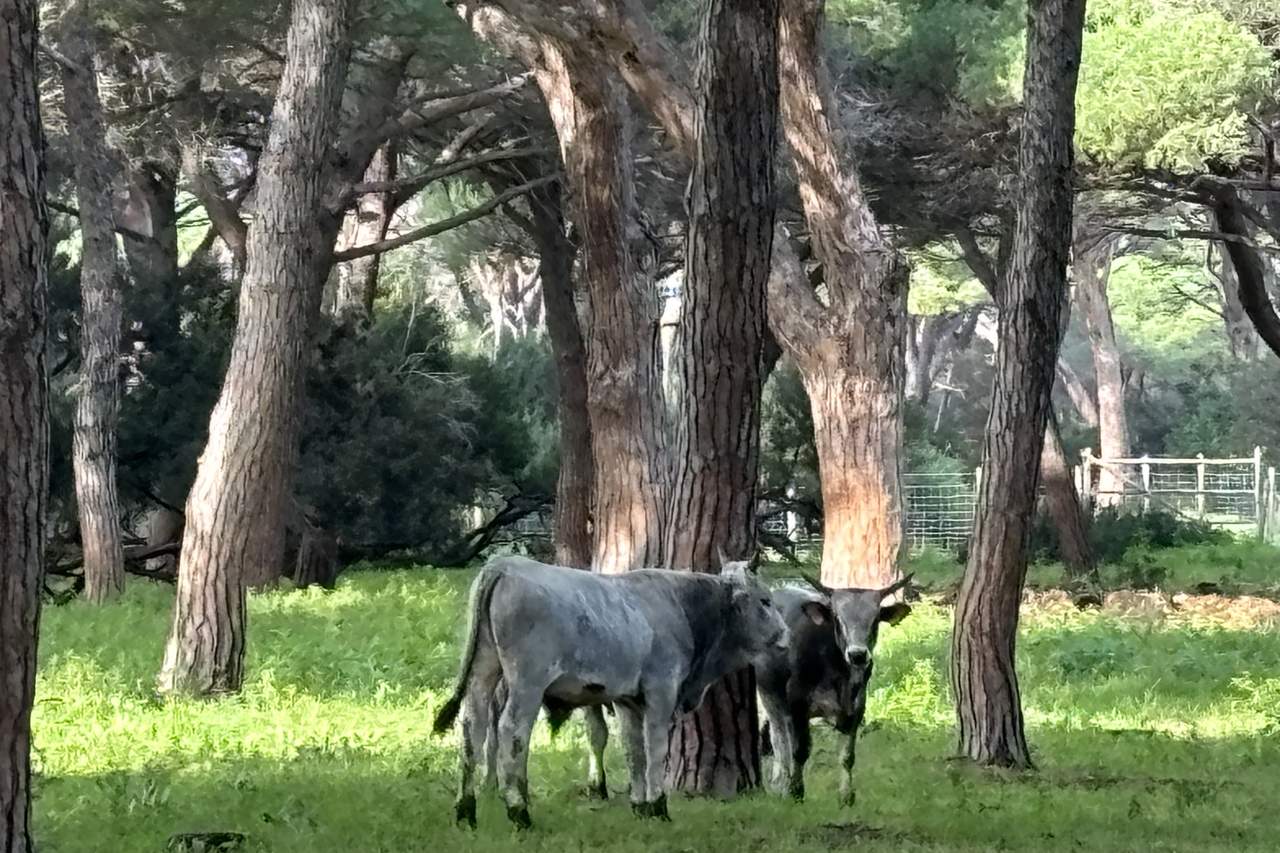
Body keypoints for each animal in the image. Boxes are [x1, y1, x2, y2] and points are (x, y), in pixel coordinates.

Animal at [432, 550, 788, 824]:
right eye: (766, 601)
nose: (785, 635)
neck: (685, 607)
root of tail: (504, 565)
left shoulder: (628, 700)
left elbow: (634, 750)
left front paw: (640, 806)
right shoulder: (661, 692)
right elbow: (655, 749)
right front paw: (659, 806)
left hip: (483, 670)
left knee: (473, 728)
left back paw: (466, 811)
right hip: (526, 683)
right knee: (511, 731)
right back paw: (519, 811)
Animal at [757, 571, 911, 804]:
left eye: (875, 619)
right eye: (837, 618)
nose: (858, 654)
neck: (839, 676)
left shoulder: (857, 707)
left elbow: (847, 756)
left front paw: (847, 797)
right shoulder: (797, 703)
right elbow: (799, 750)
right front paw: (795, 792)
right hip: (768, 693)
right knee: (778, 739)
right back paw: (780, 782)